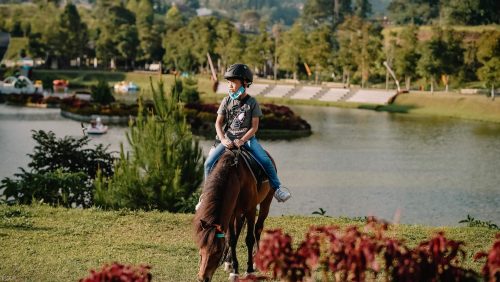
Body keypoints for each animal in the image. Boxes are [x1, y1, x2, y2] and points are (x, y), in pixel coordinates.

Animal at [193, 149, 276, 280]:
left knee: (258, 229)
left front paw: (249, 270)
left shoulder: (251, 210)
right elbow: (231, 239)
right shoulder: (231, 212)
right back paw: (229, 262)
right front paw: (234, 270)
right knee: (236, 231)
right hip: (238, 213)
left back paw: (256, 260)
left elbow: (249, 239)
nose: (202, 278)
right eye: (201, 247)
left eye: (217, 251)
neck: (237, 179)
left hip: (266, 200)